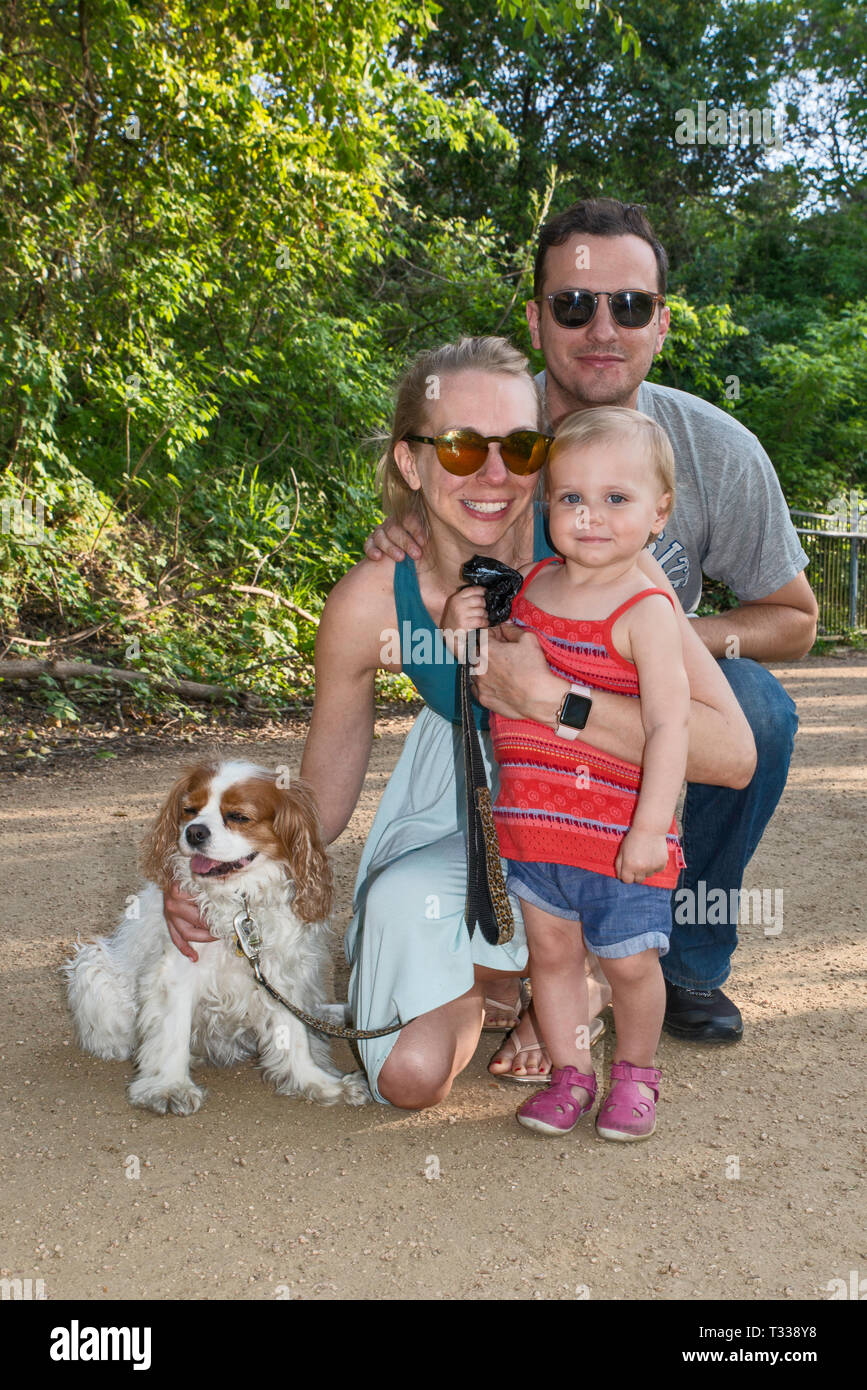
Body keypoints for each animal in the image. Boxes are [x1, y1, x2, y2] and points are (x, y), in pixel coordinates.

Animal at [63, 761, 369, 1117]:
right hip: (92, 965)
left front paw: (318, 1083)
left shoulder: (280, 974)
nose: (194, 832)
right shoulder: (176, 971)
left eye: (238, 816)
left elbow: (294, 1037)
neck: (238, 901)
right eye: (189, 810)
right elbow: (172, 1032)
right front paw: (169, 1087)